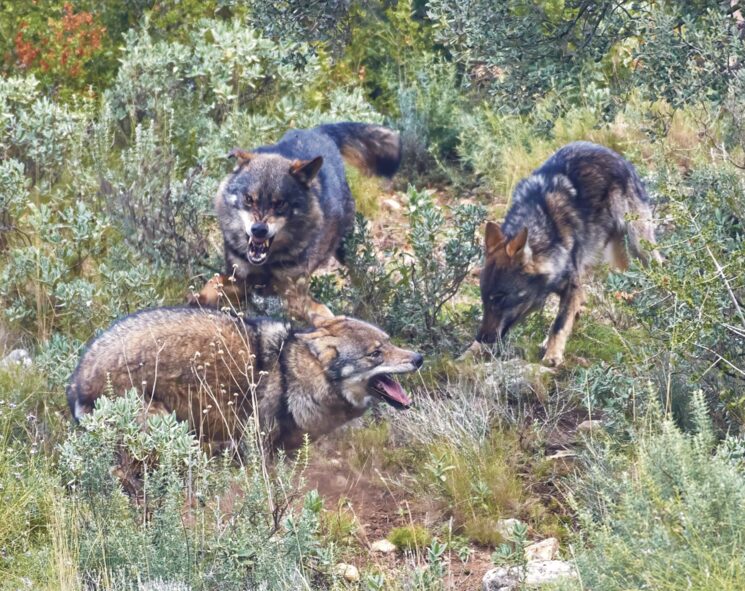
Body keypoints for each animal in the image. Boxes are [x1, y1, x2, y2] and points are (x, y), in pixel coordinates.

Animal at [67, 308, 422, 452]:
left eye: (389, 342)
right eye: (376, 353)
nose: (419, 358)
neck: (293, 375)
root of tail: (78, 380)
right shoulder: (259, 446)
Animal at [190, 122, 401, 319]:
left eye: (280, 203)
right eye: (249, 199)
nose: (259, 230)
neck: (268, 262)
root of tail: (317, 130)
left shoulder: (292, 293)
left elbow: (315, 310)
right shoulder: (240, 280)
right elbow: (210, 285)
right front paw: (196, 303)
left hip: (346, 251)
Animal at [472, 141, 662, 366]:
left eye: (500, 298)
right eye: (484, 299)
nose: (480, 338)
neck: (544, 231)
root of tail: (616, 156)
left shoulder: (571, 284)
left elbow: (559, 323)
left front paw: (552, 355)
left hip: (639, 244)